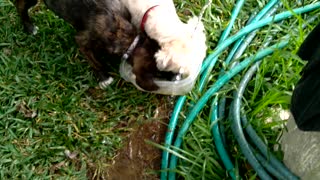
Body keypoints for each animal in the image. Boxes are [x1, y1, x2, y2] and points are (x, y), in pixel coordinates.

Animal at [14, 0, 172, 90]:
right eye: (160, 72)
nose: (175, 77)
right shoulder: (83, 41)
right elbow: (96, 62)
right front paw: (104, 78)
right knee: (20, 6)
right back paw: (29, 27)